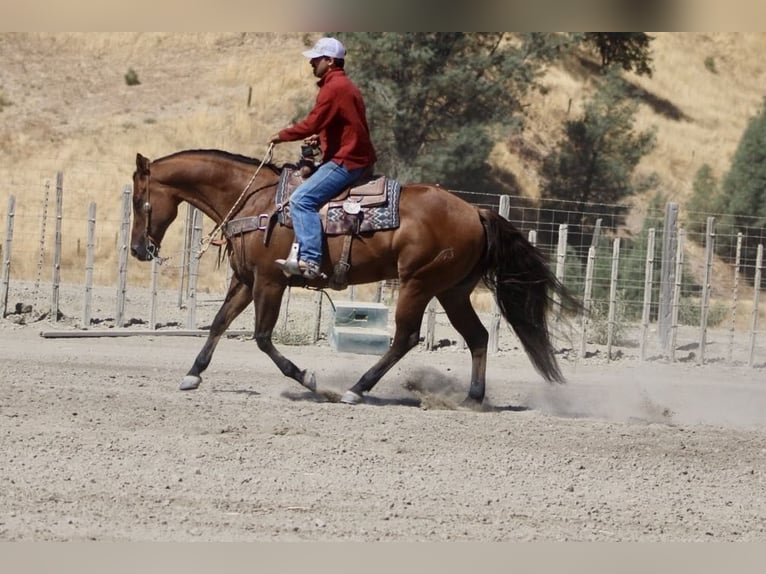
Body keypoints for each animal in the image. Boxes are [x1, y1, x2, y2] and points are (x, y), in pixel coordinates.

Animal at [130, 149, 579, 406]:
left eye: (138, 200)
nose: (137, 249)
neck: (256, 202)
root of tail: (475, 211)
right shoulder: (245, 280)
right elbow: (219, 323)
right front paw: (192, 375)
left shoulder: (269, 282)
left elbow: (261, 337)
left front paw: (309, 379)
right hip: (452, 291)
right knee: (478, 337)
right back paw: (472, 398)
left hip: (418, 285)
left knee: (405, 338)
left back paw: (356, 389)